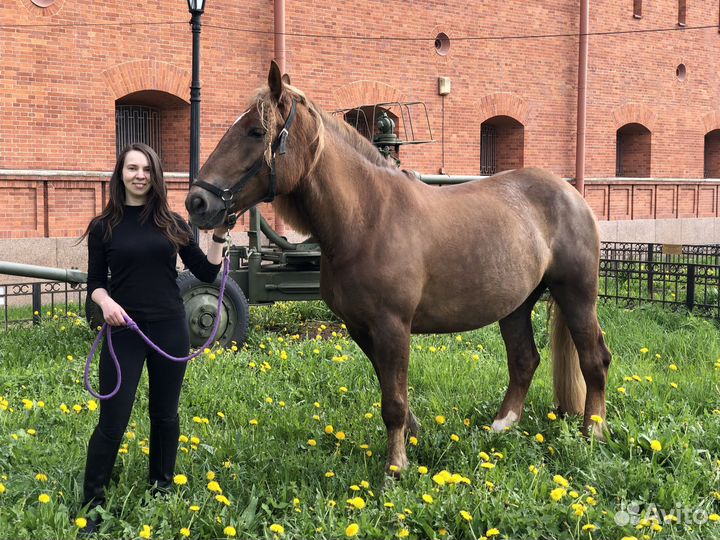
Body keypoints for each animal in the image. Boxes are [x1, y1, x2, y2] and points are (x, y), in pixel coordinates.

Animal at [185, 61, 612, 475]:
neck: (367, 218)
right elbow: (393, 394)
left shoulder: (392, 326)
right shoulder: (361, 328)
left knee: (595, 359)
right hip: (517, 305)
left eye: (256, 131)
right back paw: (501, 426)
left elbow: (392, 400)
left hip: (577, 296)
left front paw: (396, 466)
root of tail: (570, 193)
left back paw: (593, 432)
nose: (197, 202)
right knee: (524, 360)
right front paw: (412, 435)